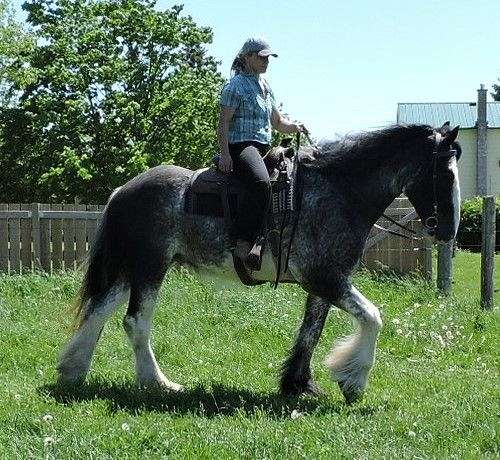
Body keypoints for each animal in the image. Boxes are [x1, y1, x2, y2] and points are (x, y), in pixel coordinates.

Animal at [55, 121, 460, 402]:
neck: (337, 192)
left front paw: (298, 383)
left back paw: (73, 370)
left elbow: (310, 332)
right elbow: (373, 317)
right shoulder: (326, 278)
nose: (449, 230)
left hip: (133, 269)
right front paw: (353, 381)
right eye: (444, 174)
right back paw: (157, 383)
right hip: (149, 268)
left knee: (99, 311)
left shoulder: (324, 282)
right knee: (135, 321)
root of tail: (123, 190)